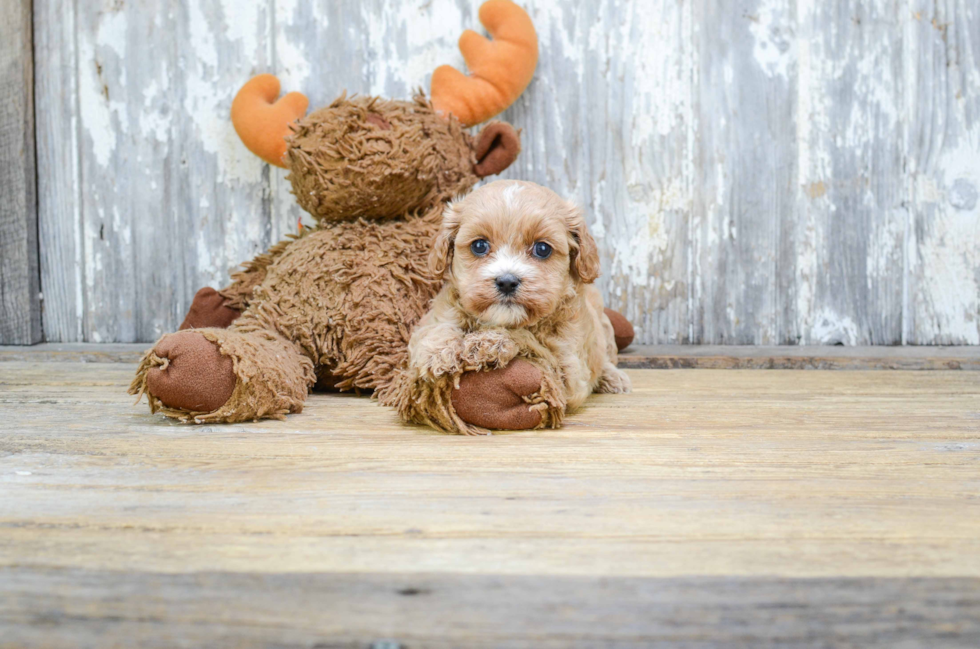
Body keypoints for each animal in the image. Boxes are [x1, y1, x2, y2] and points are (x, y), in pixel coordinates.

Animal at [386, 180, 632, 432]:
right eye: (479, 245)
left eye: (542, 249)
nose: (506, 281)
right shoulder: (437, 315)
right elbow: (436, 329)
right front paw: (437, 352)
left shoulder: (569, 371)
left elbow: (530, 341)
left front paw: (488, 342)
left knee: (606, 358)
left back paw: (613, 377)